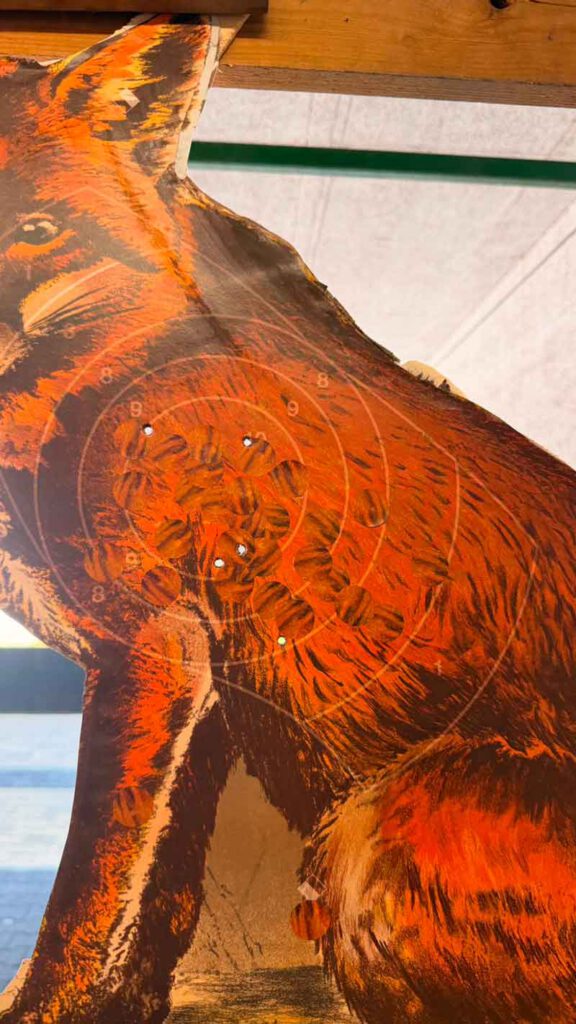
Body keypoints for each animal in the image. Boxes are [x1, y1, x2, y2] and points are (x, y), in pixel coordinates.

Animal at [0, 13, 574, 1024]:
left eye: (35, 231)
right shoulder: (203, 686)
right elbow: (160, 901)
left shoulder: (154, 648)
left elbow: (83, 902)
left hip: (372, 832)